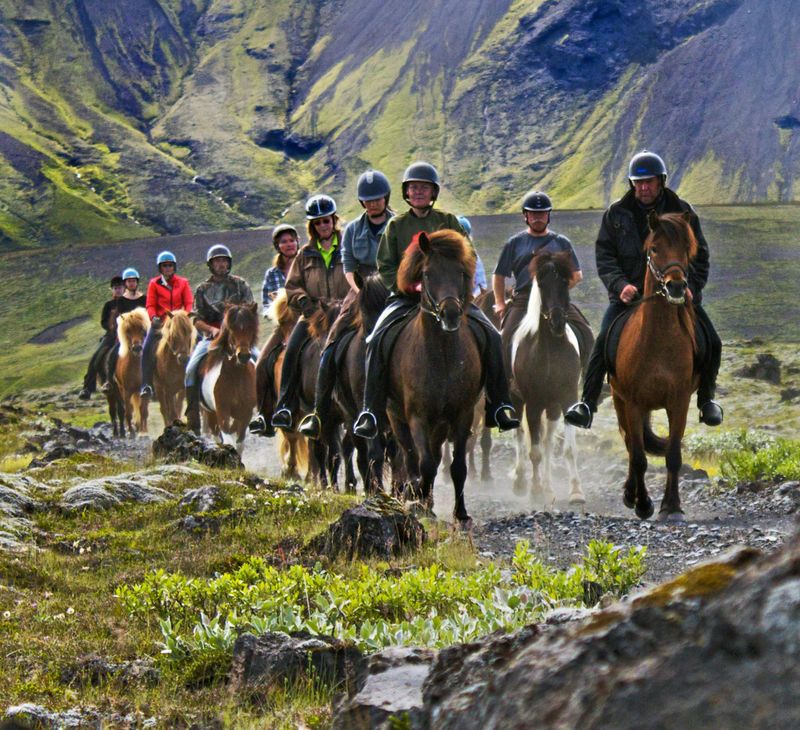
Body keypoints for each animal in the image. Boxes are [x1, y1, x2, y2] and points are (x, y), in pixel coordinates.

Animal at [114, 308, 150, 437]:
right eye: (128, 330)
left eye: (142, 329)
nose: (137, 348)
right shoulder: (126, 391)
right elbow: (128, 412)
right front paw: (131, 431)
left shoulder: (144, 391)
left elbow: (143, 411)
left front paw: (143, 430)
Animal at [199, 302, 258, 454]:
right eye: (231, 329)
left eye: (251, 328)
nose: (243, 356)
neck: (236, 376)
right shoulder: (222, 411)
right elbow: (228, 440)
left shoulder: (245, 413)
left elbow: (239, 442)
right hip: (210, 412)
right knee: (216, 435)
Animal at [386, 229, 483, 529]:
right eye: (427, 274)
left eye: (461, 272)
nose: (449, 314)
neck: (442, 357)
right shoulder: (417, 416)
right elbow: (424, 463)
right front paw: (417, 498)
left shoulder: (463, 415)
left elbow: (457, 467)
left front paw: (461, 514)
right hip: (396, 416)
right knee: (409, 455)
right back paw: (414, 493)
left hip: (440, 424)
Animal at [510, 250, 593, 508]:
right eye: (542, 284)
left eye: (565, 283)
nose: (557, 322)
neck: (551, 349)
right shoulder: (533, 404)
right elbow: (534, 451)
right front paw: (535, 491)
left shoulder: (568, 399)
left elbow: (567, 449)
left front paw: (576, 491)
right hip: (518, 400)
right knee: (521, 435)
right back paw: (522, 482)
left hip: (553, 406)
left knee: (547, 442)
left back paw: (548, 486)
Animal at [611, 211, 700, 522]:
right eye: (654, 249)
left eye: (687, 248)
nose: (676, 286)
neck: (659, 341)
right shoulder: (633, 403)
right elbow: (638, 456)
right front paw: (643, 504)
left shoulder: (679, 401)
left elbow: (673, 454)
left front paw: (671, 506)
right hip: (619, 401)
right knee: (629, 443)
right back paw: (630, 494)